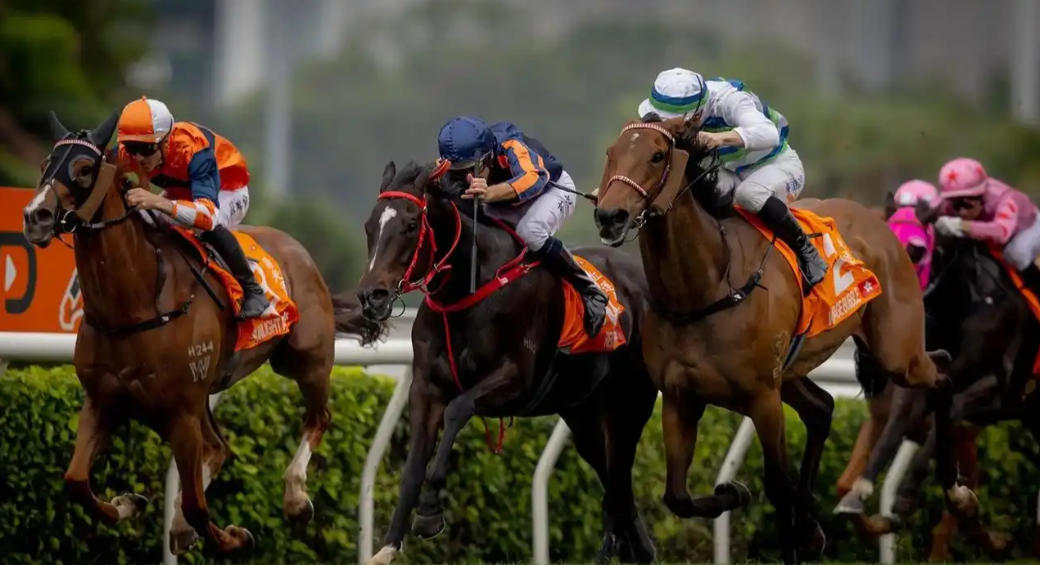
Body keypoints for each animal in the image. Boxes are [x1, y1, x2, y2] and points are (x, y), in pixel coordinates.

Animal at [21, 111, 382, 557]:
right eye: (44, 166)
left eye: (85, 169)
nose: (35, 216)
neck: (134, 304)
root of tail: (302, 253)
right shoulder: (104, 401)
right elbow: (75, 481)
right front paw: (128, 505)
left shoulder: (181, 411)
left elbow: (197, 505)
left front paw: (234, 537)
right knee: (218, 447)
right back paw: (179, 525)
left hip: (306, 361)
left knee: (318, 418)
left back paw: (296, 498)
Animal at [338, 160, 672, 565]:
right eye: (369, 226)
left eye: (411, 224)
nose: (371, 296)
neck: (466, 289)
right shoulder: (425, 389)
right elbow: (413, 465)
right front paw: (387, 547)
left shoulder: (515, 380)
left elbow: (458, 408)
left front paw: (430, 511)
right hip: (583, 413)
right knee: (615, 484)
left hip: (630, 404)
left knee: (621, 480)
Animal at [592, 115, 971, 564]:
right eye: (611, 153)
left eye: (656, 155)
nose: (609, 215)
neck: (704, 291)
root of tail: (879, 220)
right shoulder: (680, 398)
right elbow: (678, 496)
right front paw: (739, 494)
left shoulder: (762, 398)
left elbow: (777, 484)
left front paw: (796, 525)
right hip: (793, 371)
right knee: (823, 407)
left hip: (896, 350)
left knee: (943, 370)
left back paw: (958, 491)